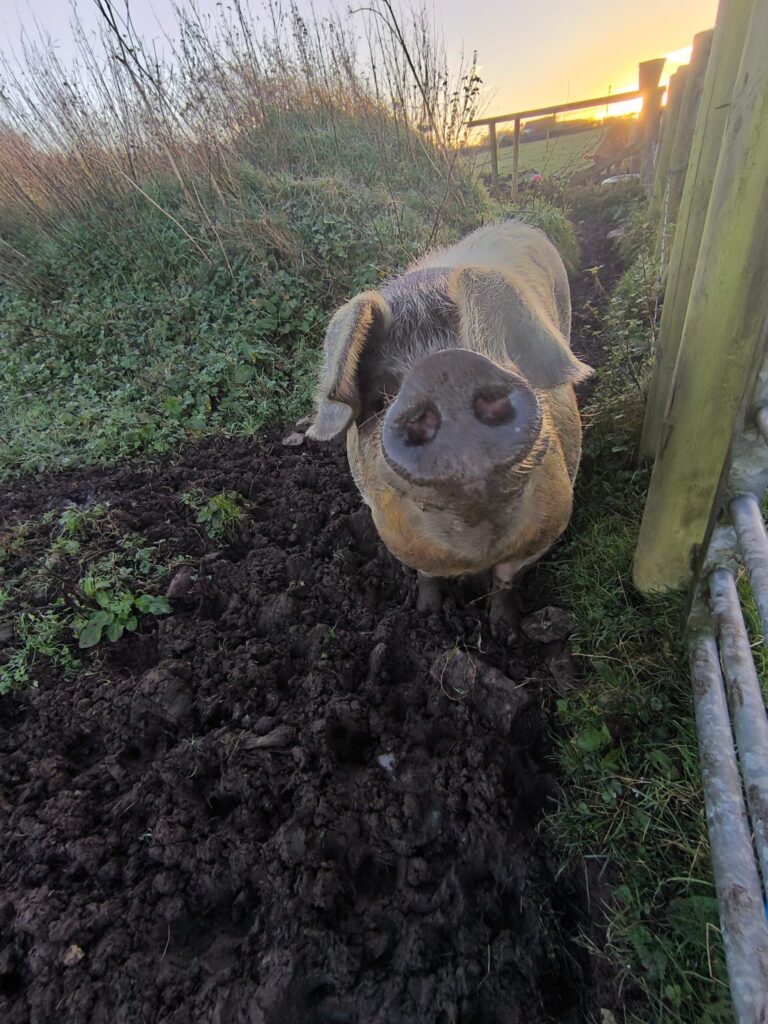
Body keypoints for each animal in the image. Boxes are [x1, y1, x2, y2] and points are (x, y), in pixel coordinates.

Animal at [307, 221, 592, 642]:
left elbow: (506, 579)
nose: (446, 369)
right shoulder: (397, 536)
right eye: (382, 396)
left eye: (502, 357)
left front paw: (505, 631)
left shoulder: (552, 522)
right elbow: (427, 575)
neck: (474, 548)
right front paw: (427, 616)